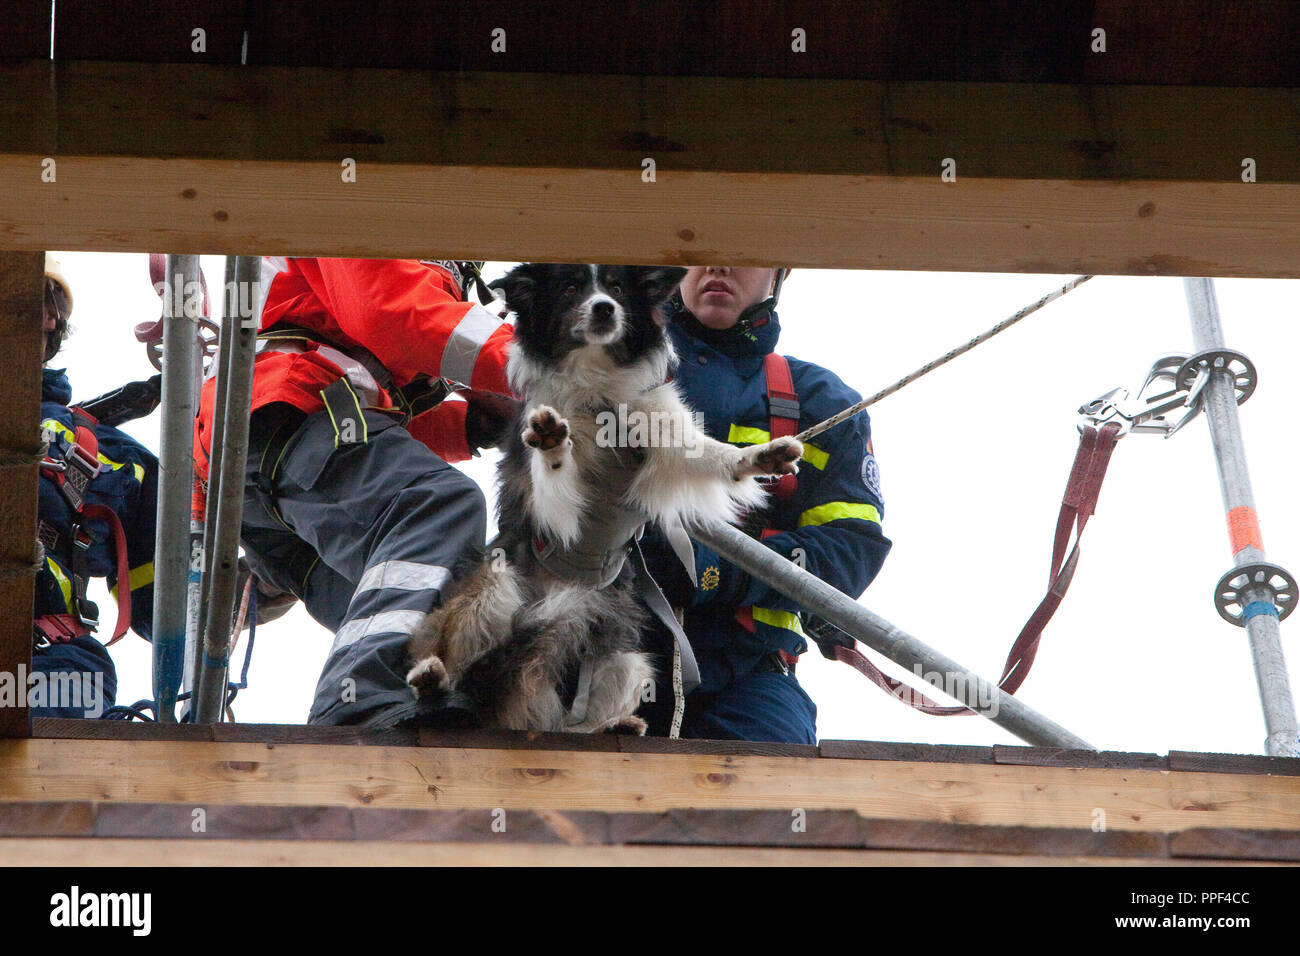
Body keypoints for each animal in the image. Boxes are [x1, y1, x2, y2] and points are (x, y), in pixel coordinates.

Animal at [408, 261, 800, 733]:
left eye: (616, 288)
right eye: (569, 289)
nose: (604, 308)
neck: (594, 380)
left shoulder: (659, 433)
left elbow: (707, 456)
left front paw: (760, 456)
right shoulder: (547, 492)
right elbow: (553, 476)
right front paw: (552, 442)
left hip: (623, 656)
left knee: (569, 721)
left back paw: (615, 725)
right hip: (494, 588)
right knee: (453, 655)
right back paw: (433, 679)